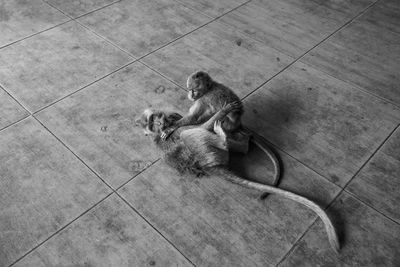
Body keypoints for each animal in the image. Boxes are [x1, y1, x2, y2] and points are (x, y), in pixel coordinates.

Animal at [136, 103, 340, 254]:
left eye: (151, 120)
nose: (156, 118)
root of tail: (209, 166)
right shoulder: (178, 129)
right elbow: (199, 125)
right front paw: (222, 111)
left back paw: (242, 140)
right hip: (200, 146)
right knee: (199, 135)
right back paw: (224, 134)